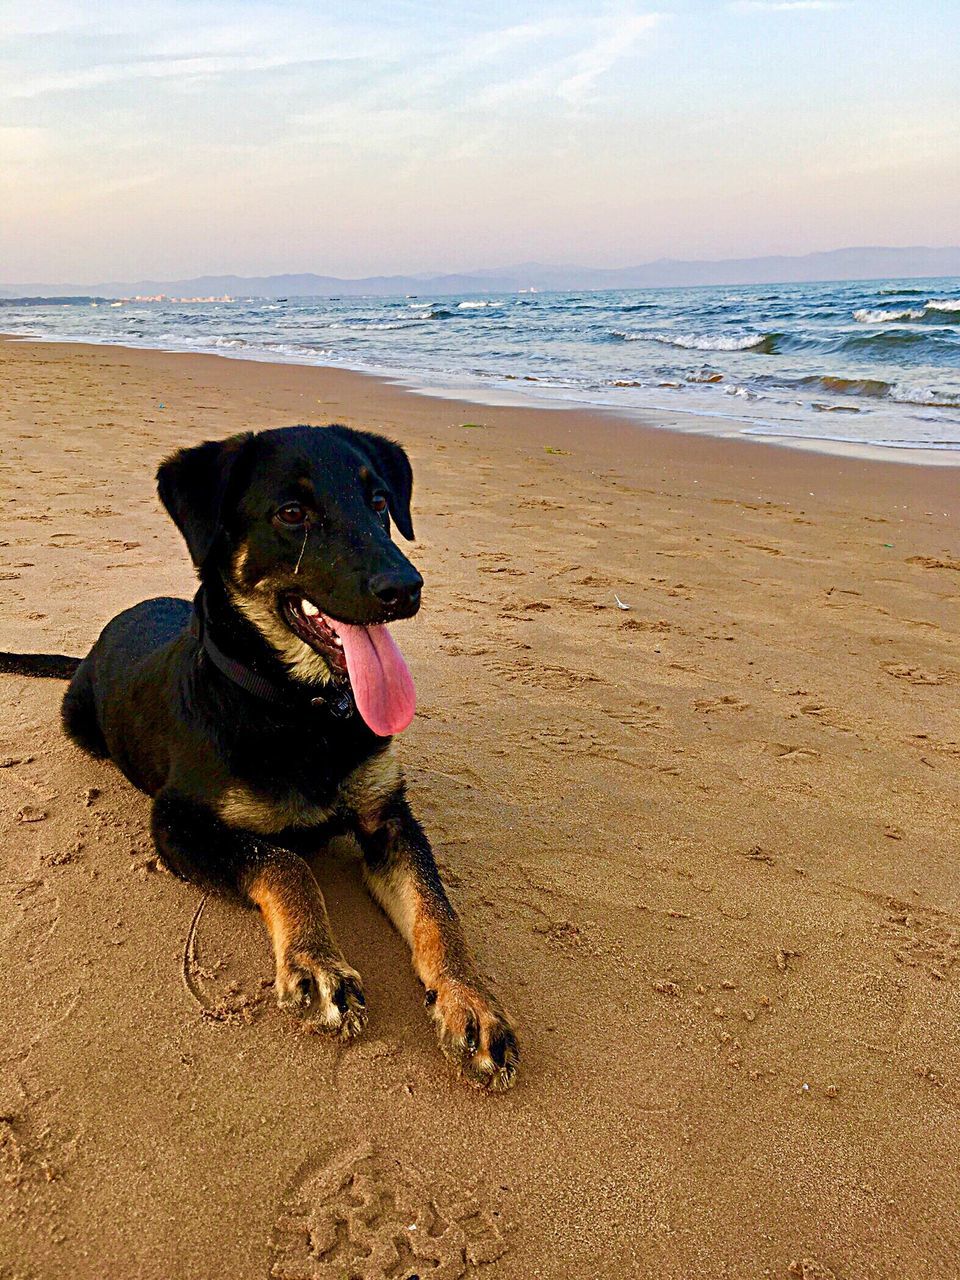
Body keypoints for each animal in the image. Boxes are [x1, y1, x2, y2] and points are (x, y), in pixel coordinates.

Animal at [0, 427, 519, 1090]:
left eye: (379, 502)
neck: (304, 712)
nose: (406, 588)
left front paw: (470, 1000)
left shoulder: (389, 819)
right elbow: (282, 861)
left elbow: (437, 908)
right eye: (292, 514)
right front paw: (315, 961)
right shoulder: (177, 824)